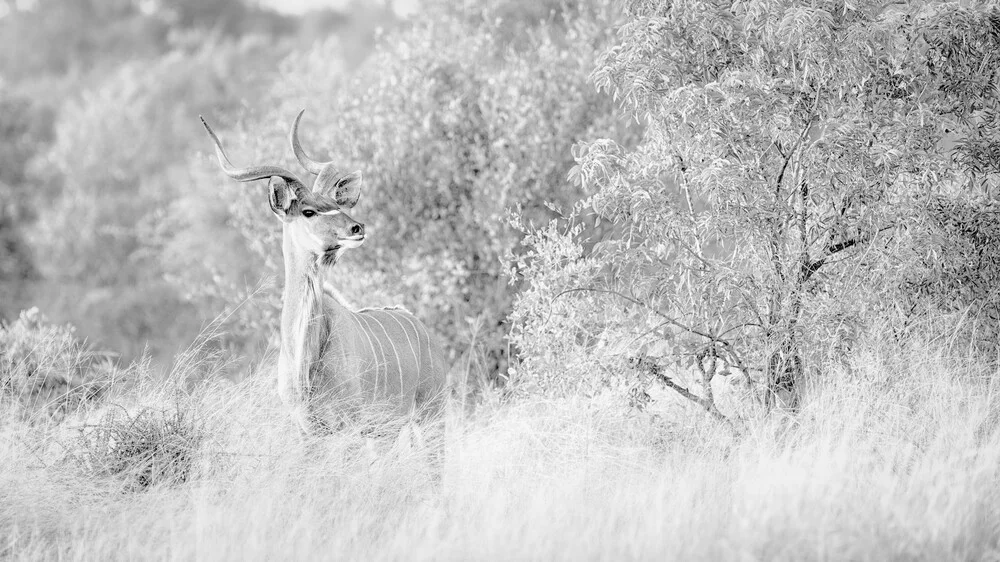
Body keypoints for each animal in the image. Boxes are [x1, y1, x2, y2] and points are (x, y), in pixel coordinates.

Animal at [201, 111, 448, 430]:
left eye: (336, 205)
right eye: (308, 211)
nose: (357, 228)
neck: (305, 363)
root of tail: (422, 327)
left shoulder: (350, 423)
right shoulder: (306, 428)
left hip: (431, 416)